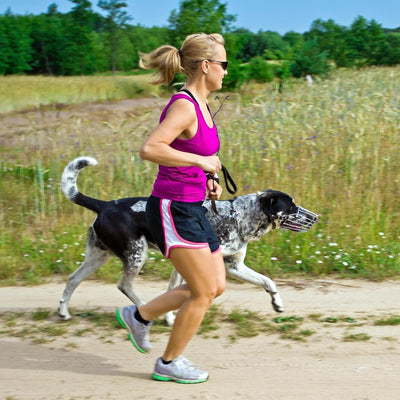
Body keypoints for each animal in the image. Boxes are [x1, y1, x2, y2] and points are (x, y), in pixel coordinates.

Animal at [58, 156, 318, 324]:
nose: (315, 218)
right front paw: (169, 317)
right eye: (292, 206)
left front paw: (277, 302)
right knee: (124, 285)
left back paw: (63, 312)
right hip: (136, 254)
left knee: (72, 279)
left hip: (98, 257)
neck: (237, 217)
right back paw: (143, 308)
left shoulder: (233, 266)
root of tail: (105, 205)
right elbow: (173, 291)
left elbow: (267, 281)